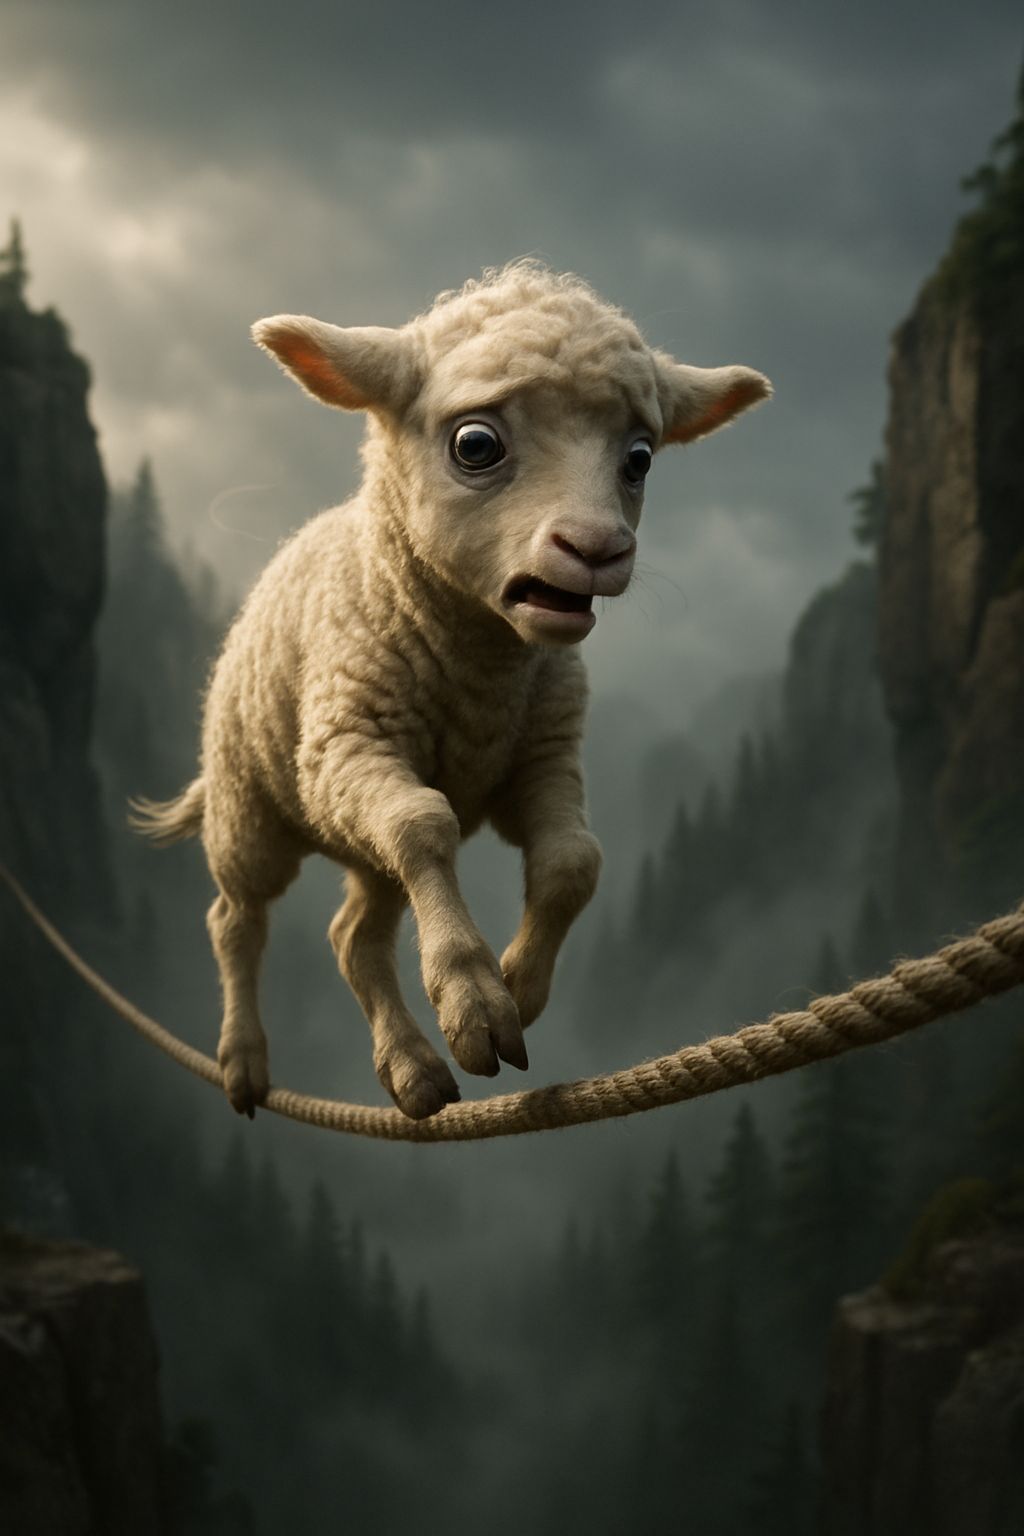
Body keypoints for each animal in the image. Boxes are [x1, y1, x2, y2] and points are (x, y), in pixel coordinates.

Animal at [134, 262, 771, 1120]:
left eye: (639, 458)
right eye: (476, 445)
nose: (597, 548)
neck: (478, 665)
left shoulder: (543, 755)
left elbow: (574, 860)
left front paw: (518, 987)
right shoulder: (347, 747)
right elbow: (423, 823)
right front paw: (472, 997)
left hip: (355, 843)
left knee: (353, 936)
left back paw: (412, 1072)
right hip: (251, 805)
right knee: (236, 919)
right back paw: (244, 1058)